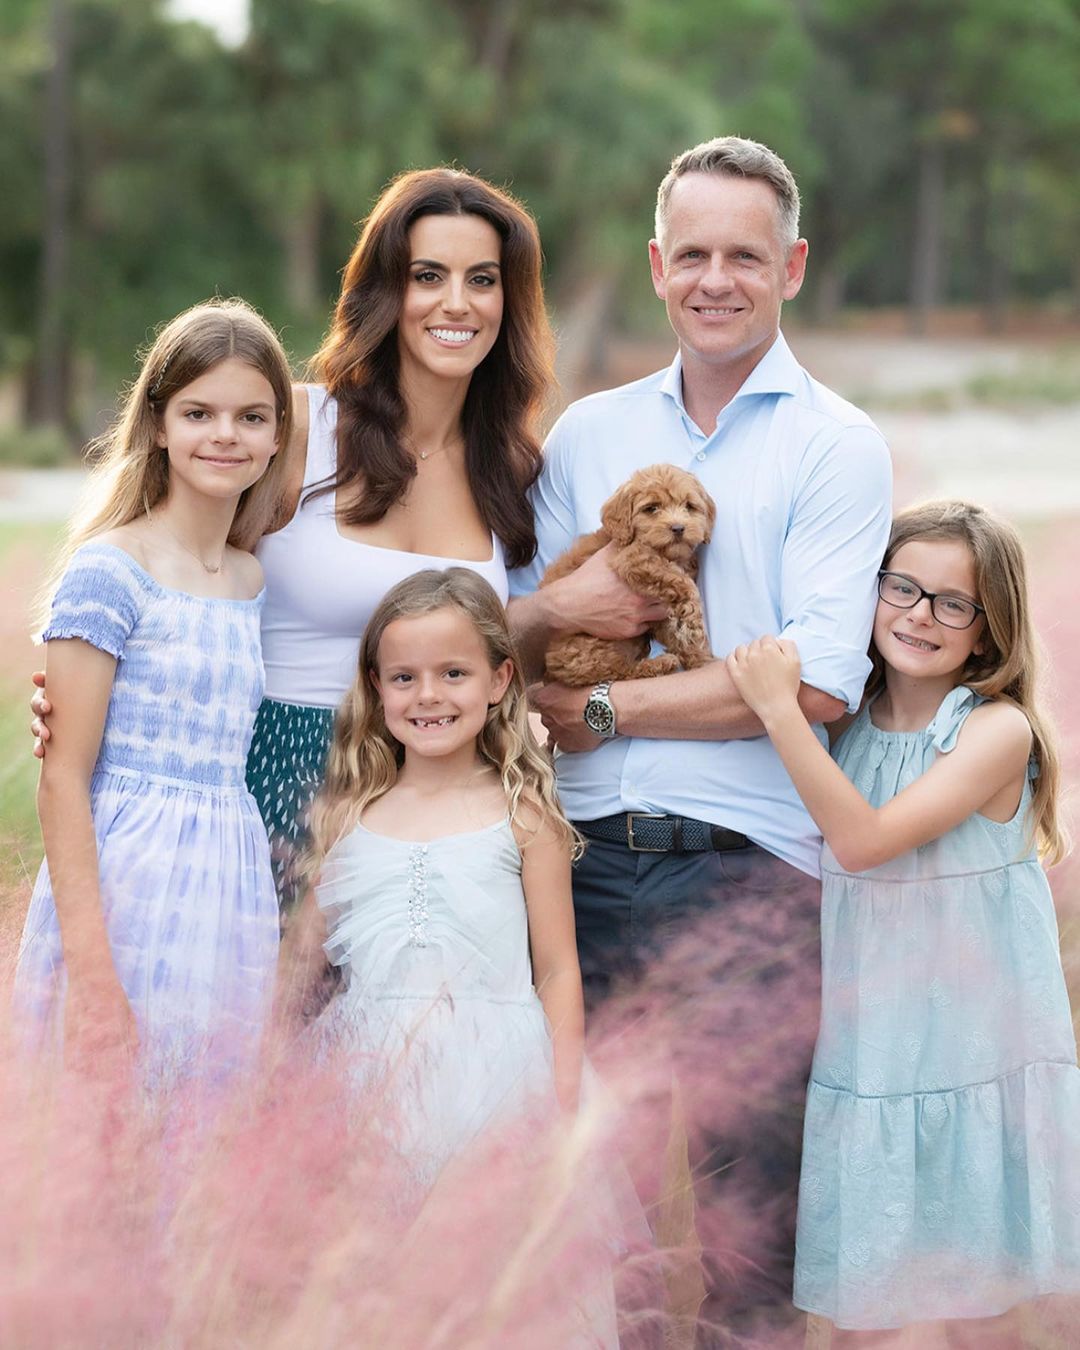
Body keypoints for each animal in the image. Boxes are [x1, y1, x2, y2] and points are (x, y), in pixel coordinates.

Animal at [540, 469, 718, 691]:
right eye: (652, 508)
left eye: (689, 506)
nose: (678, 528)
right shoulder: (632, 559)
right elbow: (683, 583)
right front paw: (694, 620)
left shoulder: (657, 615)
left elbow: (676, 634)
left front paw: (701, 659)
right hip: (590, 647)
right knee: (618, 672)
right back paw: (660, 664)